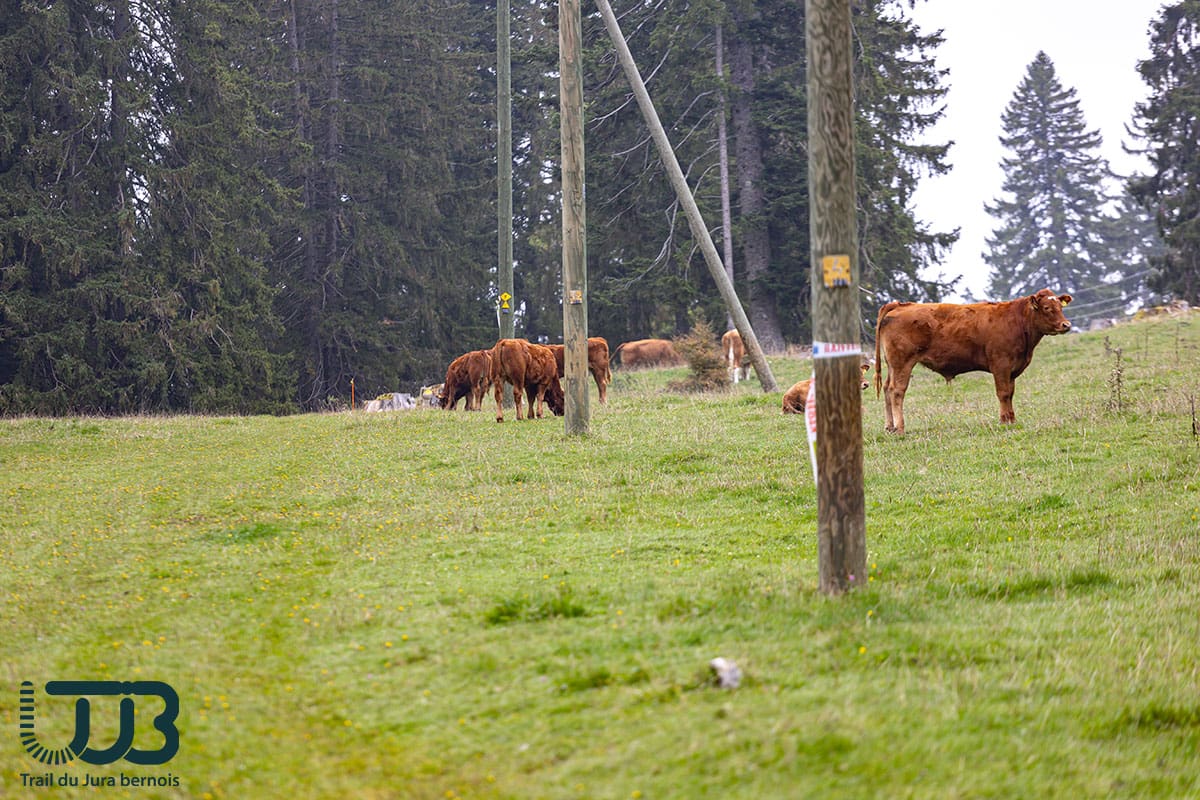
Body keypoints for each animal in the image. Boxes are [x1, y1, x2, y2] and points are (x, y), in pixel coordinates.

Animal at [873, 288, 1073, 434]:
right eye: (1047, 308)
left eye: (1060, 307)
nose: (1066, 325)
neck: (1017, 322)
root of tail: (900, 305)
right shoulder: (1001, 364)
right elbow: (1003, 393)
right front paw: (1004, 421)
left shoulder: (1012, 369)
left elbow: (1010, 393)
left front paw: (1012, 419)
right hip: (902, 362)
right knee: (896, 391)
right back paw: (900, 428)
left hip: (892, 365)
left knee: (887, 388)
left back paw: (890, 427)